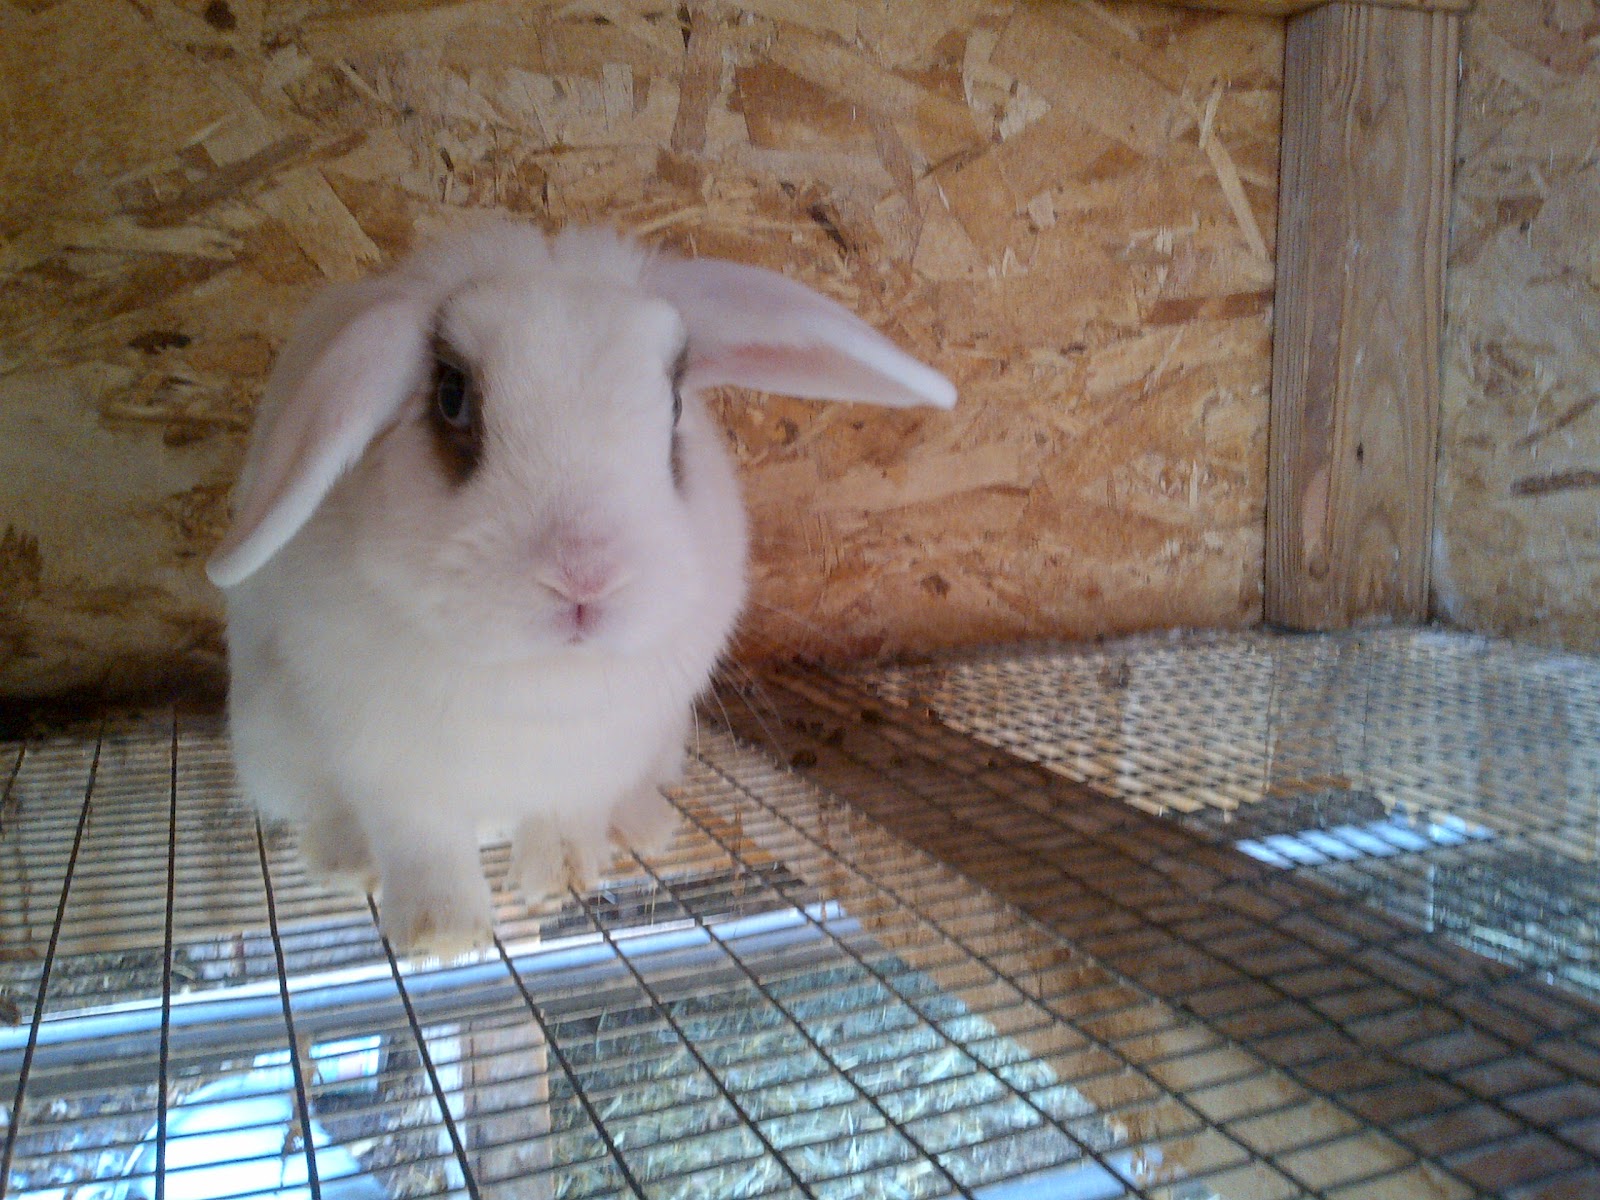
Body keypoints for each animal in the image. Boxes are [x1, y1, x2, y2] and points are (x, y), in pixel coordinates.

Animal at [205, 221, 955, 957]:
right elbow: (425, 845)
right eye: (451, 396)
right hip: (273, 742)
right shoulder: (389, 761)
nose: (585, 579)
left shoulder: (596, 759)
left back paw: (641, 827)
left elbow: (566, 815)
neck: (547, 679)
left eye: (674, 405)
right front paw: (442, 936)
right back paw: (345, 863)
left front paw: (563, 876)